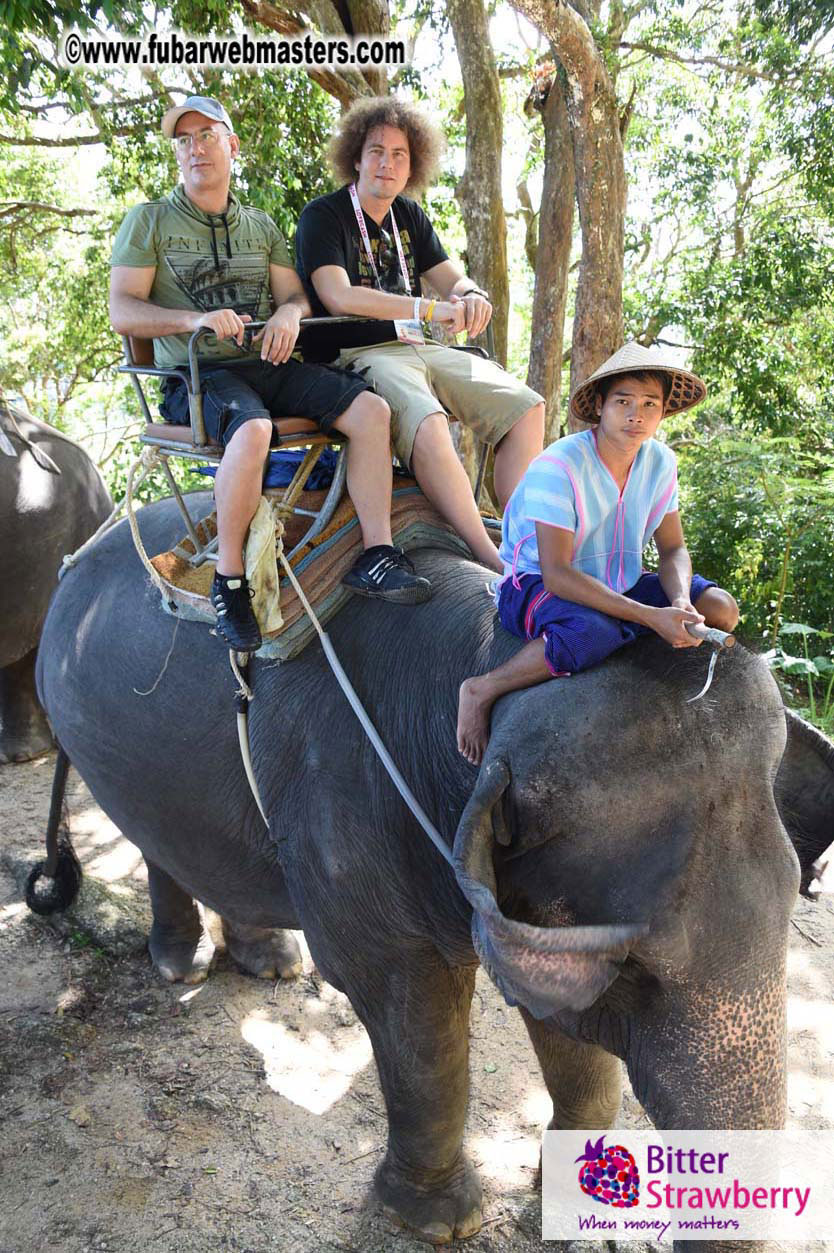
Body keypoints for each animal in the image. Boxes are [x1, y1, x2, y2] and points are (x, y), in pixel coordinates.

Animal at [34, 492, 834, 1251]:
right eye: (637, 970)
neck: (482, 656)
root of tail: (79, 554)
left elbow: (560, 1017)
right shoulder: (347, 801)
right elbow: (408, 1001)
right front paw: (439, 1222)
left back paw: (269, 963)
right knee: (153, 839)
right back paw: (183, 965)